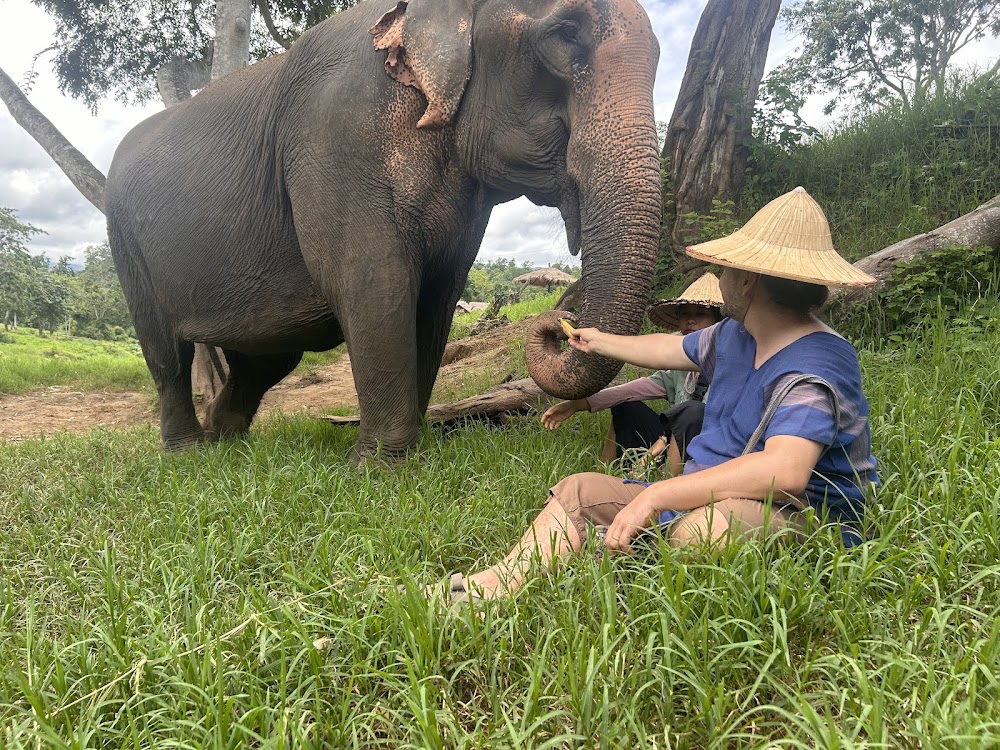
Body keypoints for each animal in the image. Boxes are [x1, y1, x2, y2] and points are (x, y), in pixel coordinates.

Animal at [105, 0, 660, 458]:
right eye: (565, 35)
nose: (560, 322)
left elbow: (436, 297)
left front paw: (408, 452)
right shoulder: (339, 139)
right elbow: (376, 284)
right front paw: (381, 467)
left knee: (268, 358)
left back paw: (225, 439)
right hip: (126, 244)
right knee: (166, 352)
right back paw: (187, 453)